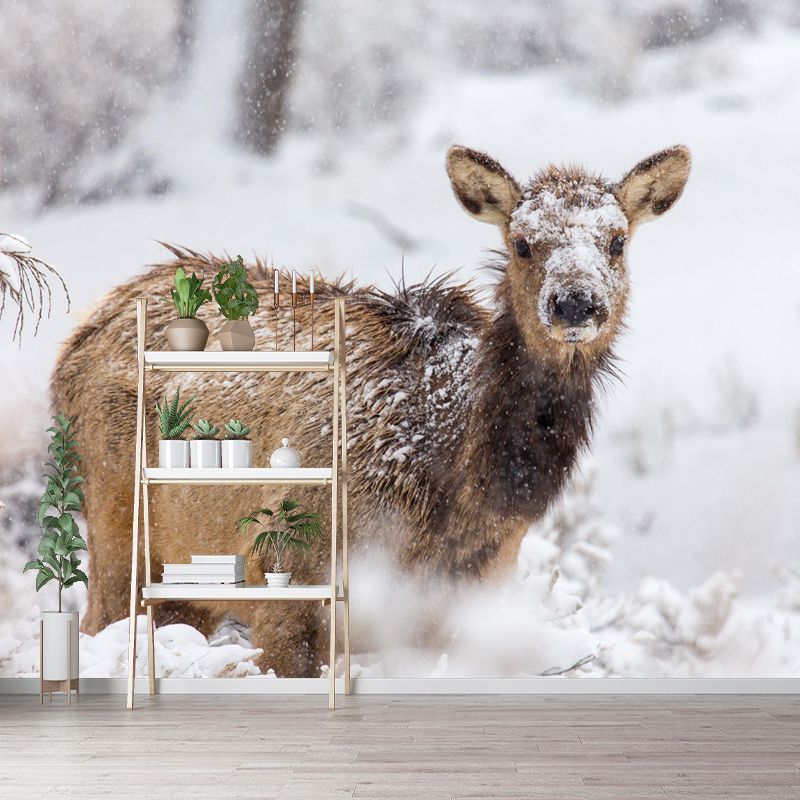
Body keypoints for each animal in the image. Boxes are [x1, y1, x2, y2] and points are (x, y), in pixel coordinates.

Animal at [51, 144, 690, 677]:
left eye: (618, 241)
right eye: (522, 242)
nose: (575, 303)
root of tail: (79, 337)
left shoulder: (465, 601)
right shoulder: (285, 572)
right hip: (116, 526)